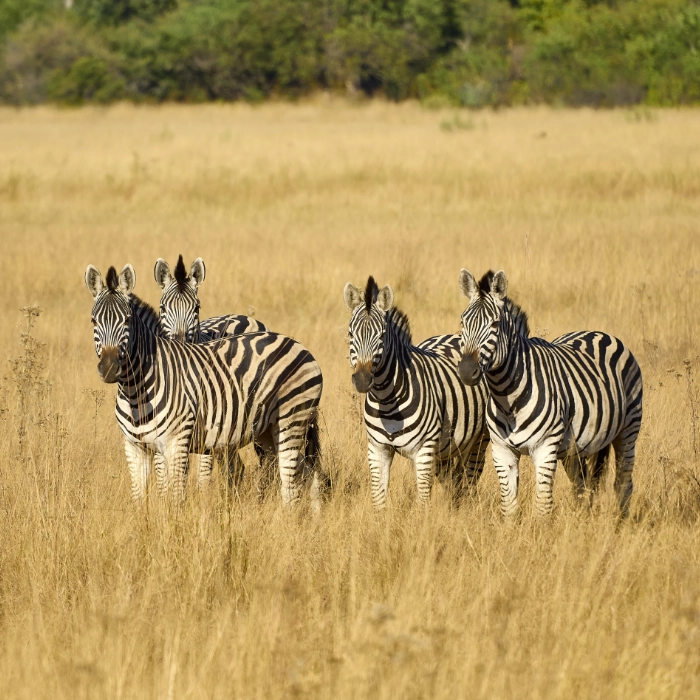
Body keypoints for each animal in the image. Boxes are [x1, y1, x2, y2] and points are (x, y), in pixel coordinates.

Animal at [84, 263, 324, 506]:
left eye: (127, 320)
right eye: (93, 321)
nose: (109, 368)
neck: (136, 390)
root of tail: (297, 344)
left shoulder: (176, 442)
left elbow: (177, 497)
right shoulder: (135, 447)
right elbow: (141, 498)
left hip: (292, 420)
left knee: (290, 484)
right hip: (268, 429)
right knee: (299, 472)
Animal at [344, 276, 489, 509]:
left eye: (382, 336)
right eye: (350, 334)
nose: (363, 380)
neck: (386, 401)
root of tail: (454, 336)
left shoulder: (423, 451)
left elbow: (422, 502)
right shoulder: (377, 449)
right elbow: (379, 500)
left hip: (479, 440)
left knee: (470, 478)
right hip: (446, 449)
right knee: (453, 482)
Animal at [457, 268, 643, 518]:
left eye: (495, 324)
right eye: (463, 321)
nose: (466, 372)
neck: (507, 399)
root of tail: (597, 333)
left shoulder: (545, 448)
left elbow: (543, 505)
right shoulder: (501, 450)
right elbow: (509, 505)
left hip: (628, 429)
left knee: (623, 482)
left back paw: (619, 523)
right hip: (576, 449)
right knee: (582, 486)